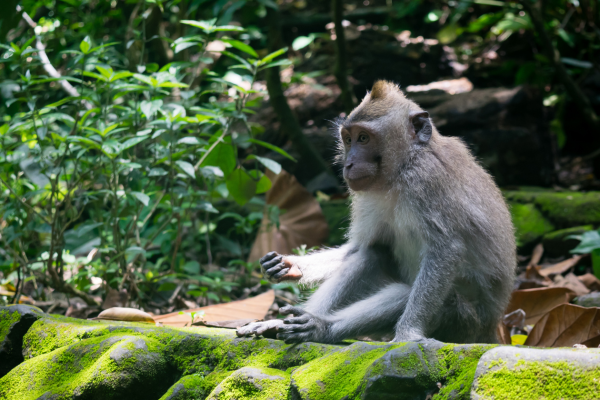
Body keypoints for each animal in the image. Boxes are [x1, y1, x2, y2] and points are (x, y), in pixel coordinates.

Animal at [238, 80, 516, 344]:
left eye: (364, 138)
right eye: (348, 139)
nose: (349, 164)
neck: (401, 170)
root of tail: (492, 327)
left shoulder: (427, 180)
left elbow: (445, 251)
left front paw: (408, 334)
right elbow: (359, 248)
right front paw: (289, 265)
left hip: (464, 321)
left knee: (407, 292)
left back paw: (321, 328)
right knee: (369, 255)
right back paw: (293, 322)